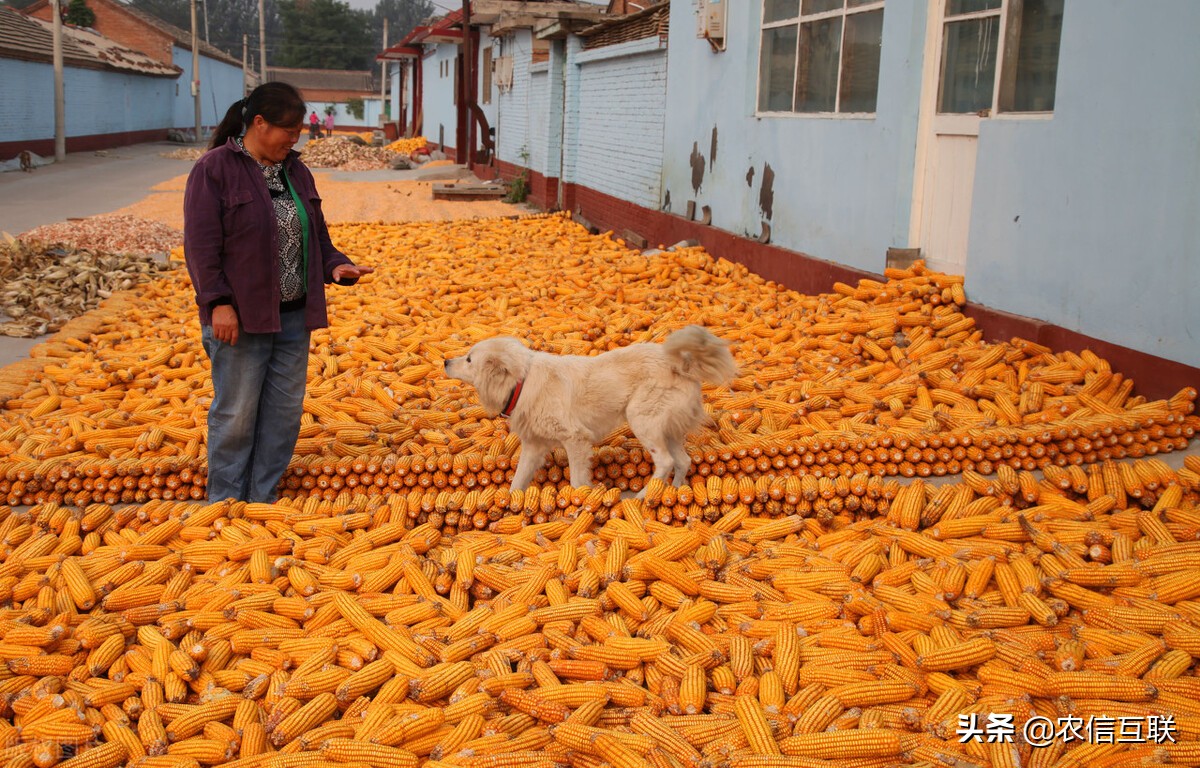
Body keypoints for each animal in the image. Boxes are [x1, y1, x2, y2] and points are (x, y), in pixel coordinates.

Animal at [446, 326, 734, 492]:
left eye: (469, 359)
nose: (445, 361)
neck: (522, 381)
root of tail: (680, 364)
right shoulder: (534, 446)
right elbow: (517, 482)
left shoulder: (575, 439)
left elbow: (576, 480)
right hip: (666, 429)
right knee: (683, 461)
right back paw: (674, 492)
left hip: (642, 421)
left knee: (665, 462)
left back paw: (642, 499)